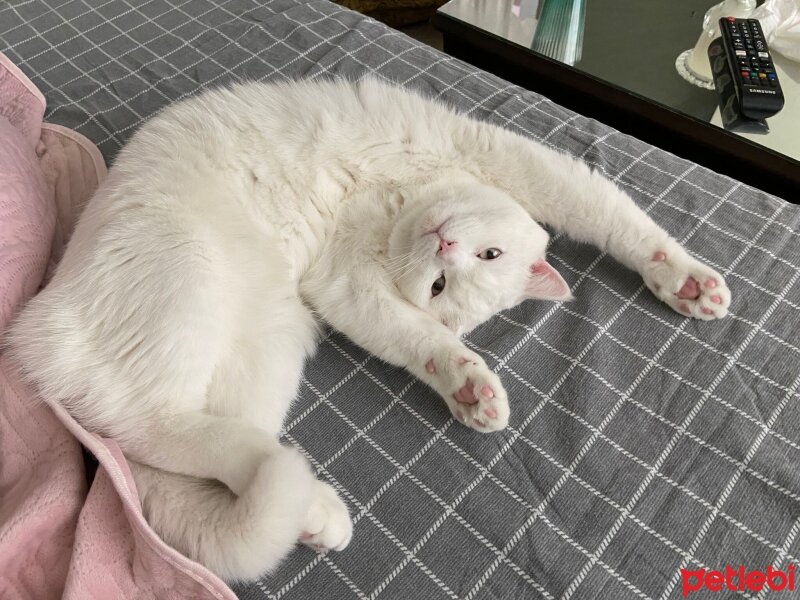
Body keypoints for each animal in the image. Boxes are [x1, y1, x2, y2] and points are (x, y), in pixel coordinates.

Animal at [6, 78, 732, 580]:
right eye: (485, 255)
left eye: (444, 285)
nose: (443, 246)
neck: (391, 208)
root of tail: (38, 334)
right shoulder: (500, 157)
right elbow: (609, 214)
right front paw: (685, 278)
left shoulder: (345, 288)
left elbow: (418, 340)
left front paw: (468, 388)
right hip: (187, 274)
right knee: (145, 428)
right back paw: (306, 501)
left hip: (268, 341)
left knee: (181, 470)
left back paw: (312, 515)